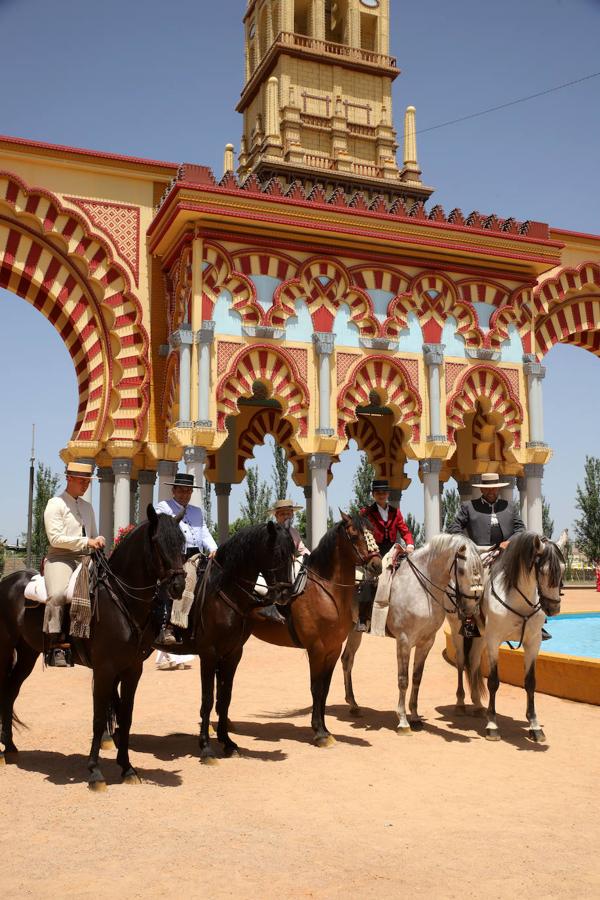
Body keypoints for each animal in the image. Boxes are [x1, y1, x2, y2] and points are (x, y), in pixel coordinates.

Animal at [0, 510, 186, 792]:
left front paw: (127, 768)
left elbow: (126, 716)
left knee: (10, 693)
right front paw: (95, 772)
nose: (178, 585)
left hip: (27, 654)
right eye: (157, 541)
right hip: (4, 649)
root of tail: (8, 581)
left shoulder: (132, 670)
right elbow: (99, 719)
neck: (121, 598)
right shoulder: (104, 670)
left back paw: (10, 747)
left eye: (183, 541)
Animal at [163, 520, 296, 768]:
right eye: (276, 553)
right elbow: (207, 699)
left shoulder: (233, 654)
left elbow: (225, 698)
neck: (224, 592)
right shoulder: (208, 654)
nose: (285, 595)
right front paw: (206, 747)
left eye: (292, 553)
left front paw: (227, 742)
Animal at [251, 510, 382, 748]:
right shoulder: (316, 650)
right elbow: (316, 688)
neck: (326, 592)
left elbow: (325, 689)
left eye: (372, 532)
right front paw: (319, 732)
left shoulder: (333, 650)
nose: (377, 565)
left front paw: (325, 730)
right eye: (354, 534)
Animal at [340, 536, 486, 732]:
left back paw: (354, 705)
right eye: (462, 570)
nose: (471, 608)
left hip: (355, 631)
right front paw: (403, 720)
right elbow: (403, 679)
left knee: (347, 660)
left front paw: (415, 717)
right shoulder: (404, 641)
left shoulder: (426, 642)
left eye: (482, 569)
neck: (420, 588)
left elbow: (417, 678)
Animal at [468, 532, 568, 740]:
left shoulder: (533, 643)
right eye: (543, 570)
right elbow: (493, 682)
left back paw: (477, 704)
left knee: (473, 663)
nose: (553, 608)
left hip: (480, 636)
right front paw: (492, 724)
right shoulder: (493, 641)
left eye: (563, 569)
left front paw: (534, 726)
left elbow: (530, 683)